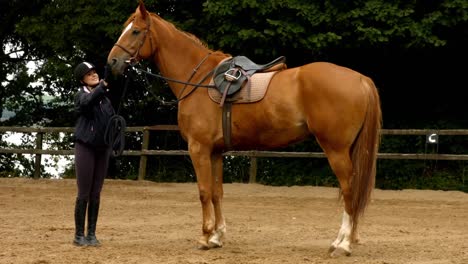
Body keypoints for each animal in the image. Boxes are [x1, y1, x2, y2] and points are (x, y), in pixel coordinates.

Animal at [108, 1, 382, 256]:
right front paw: (217, 236)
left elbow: (204, 191)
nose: (112, 61)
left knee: (349, 190)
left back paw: (343, 244)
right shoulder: (216, 152)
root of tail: (361, 79)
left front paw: (205, 237)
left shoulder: (198, 148)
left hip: (336, 150)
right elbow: (217, 192)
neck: (199, 81)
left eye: (136, 31)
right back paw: (345, 240)